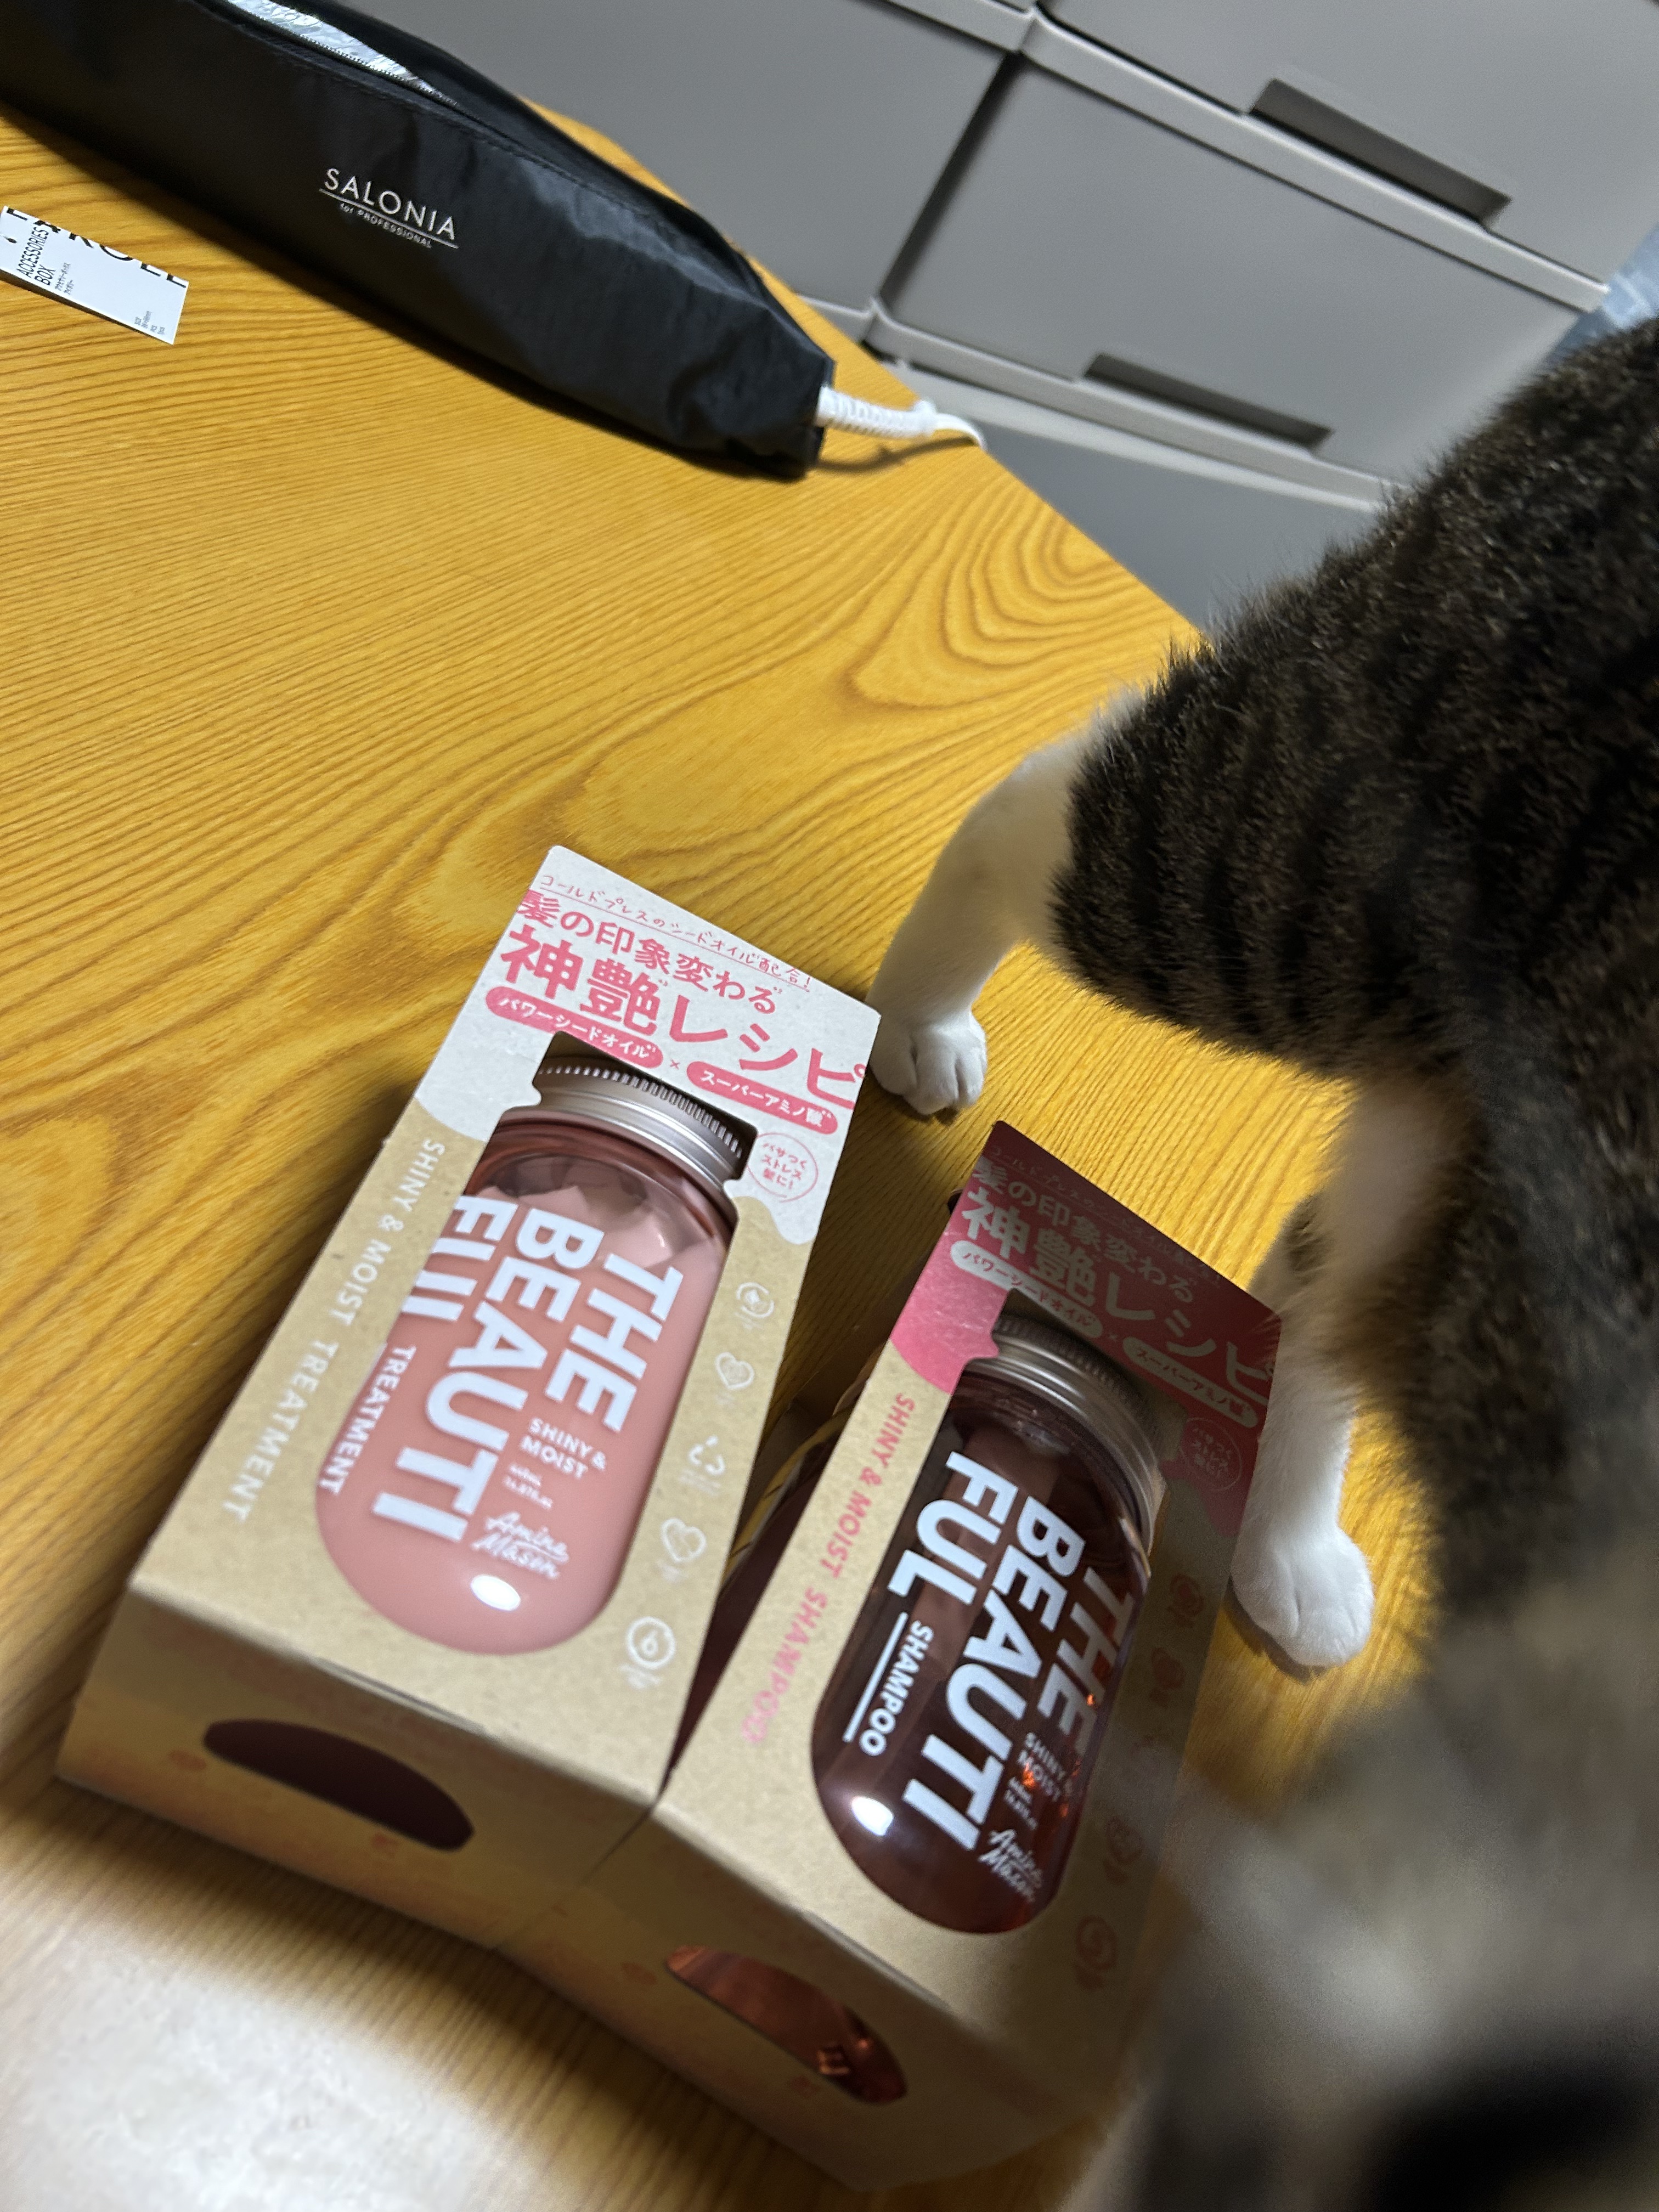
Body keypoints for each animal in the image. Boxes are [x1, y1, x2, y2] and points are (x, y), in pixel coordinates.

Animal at [865, 318, 1659, 2204]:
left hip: (1477, 1118)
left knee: (1323, 1281)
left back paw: (1289, 1551)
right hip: (1337, 856)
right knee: (1049, 805)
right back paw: (920, 1012)